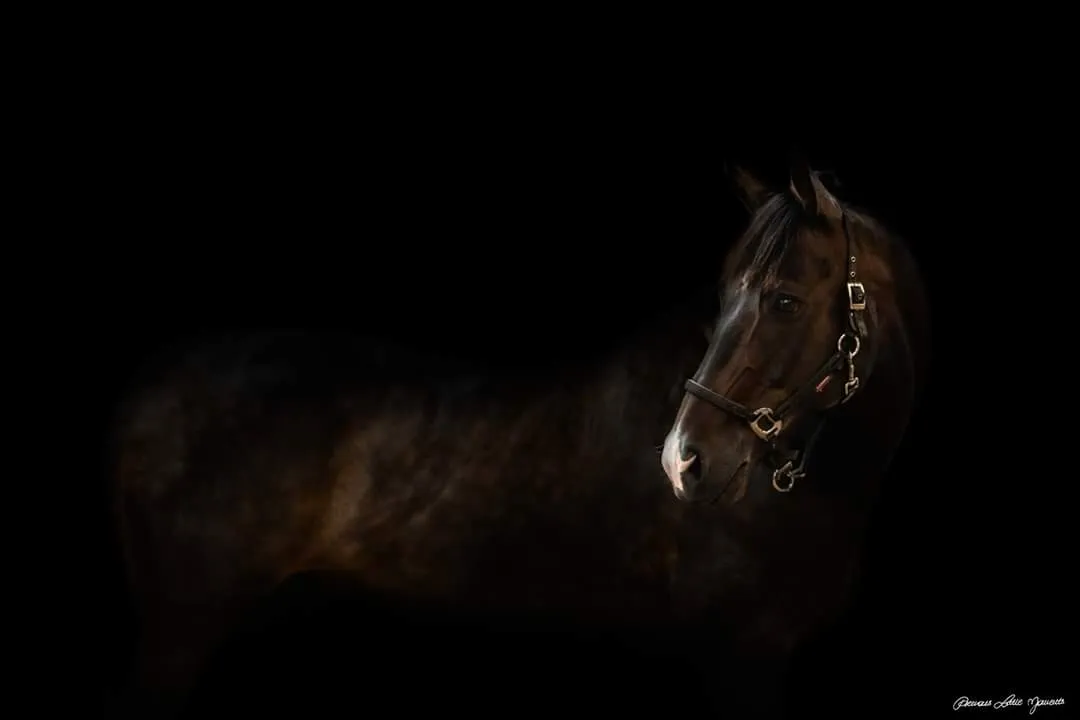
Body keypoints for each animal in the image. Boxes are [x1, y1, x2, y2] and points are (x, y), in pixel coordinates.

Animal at [108, 160, 928, 718]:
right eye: (727, 297)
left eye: (785, 300)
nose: (683, 461)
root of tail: (151, 389)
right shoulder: (741, 656)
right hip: (181, 629)